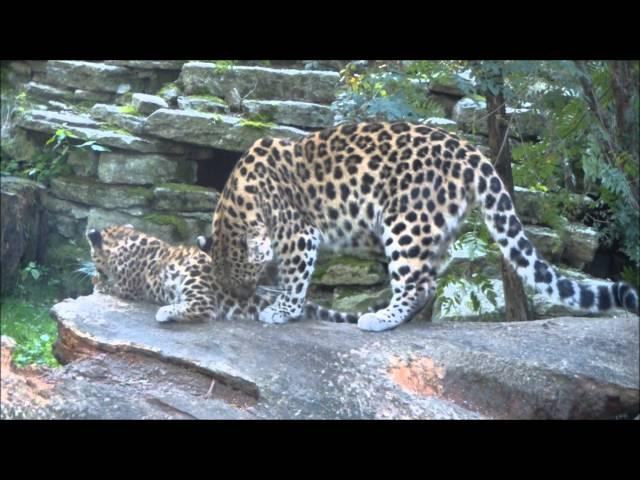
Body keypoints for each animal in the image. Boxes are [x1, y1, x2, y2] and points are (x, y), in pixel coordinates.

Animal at [86, 224, 360, 322]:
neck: (123, 237)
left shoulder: (126, 285)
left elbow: (109, 285)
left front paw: (96, 280)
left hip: (193, 275)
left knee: (205, 307)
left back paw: (166, 312)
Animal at [201, 120, 640, 332]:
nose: (244, 297)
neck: (235, 206)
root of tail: (470, 151)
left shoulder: (299, 233)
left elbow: (294, 276)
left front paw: (282, 310)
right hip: (434, 227)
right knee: (431, 282)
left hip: (405, 221)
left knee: (417, 283)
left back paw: (380, 319)